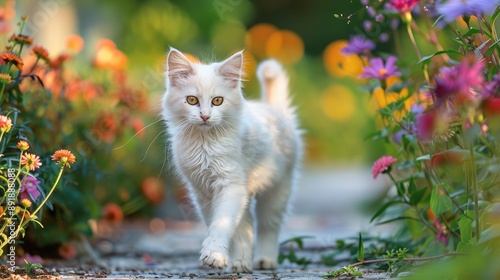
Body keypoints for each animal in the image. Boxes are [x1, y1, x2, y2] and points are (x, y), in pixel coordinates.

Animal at [163, 48, 300, 274]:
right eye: (192, 100)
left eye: (217, 101)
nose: (205, 116)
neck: (205, 144)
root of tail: (274, 110)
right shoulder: (203, 192)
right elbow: (223, 224)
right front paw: (224, 258)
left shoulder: (230, 186)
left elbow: (222, 223)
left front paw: (214, 254)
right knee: (247, 225)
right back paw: (240, 263)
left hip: (277, 189)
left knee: (268, 225)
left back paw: (264, 260)